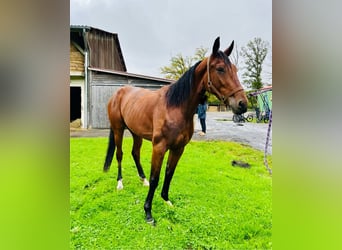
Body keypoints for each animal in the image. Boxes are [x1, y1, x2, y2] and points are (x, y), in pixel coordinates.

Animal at [103, 36, 247, 223]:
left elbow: (169, 173)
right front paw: (148, 212)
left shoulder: (178, 148)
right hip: (118, 130)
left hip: (136, 133)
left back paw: (142, 180)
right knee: (119, 154)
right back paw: (120, 183)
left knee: (135, 153)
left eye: (235, 69)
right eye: (220, 69)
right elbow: (155, 177)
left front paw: (166, 200)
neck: (175, 107)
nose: (242, 104)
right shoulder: (159, 147)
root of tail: (118, 93)